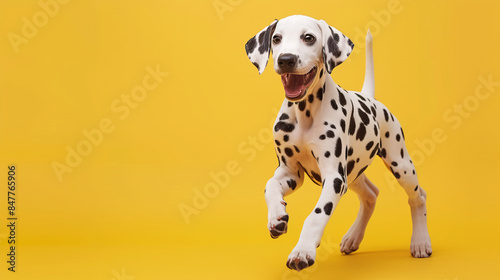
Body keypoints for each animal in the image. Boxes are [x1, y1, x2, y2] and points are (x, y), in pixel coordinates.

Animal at [244, 15, 432, 272]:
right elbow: (270, 185)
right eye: (276, 38)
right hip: (352, 173)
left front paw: (303, 250)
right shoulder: (291, 172)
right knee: (371, 194)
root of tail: (370, 98)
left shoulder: (333, 177)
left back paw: (421, 242)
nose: (286, 59)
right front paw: (276, 216)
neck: (305, 113)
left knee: (418, 196)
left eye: (308, 37)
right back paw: (353, 237)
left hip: (399, 164)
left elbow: (316, 215)